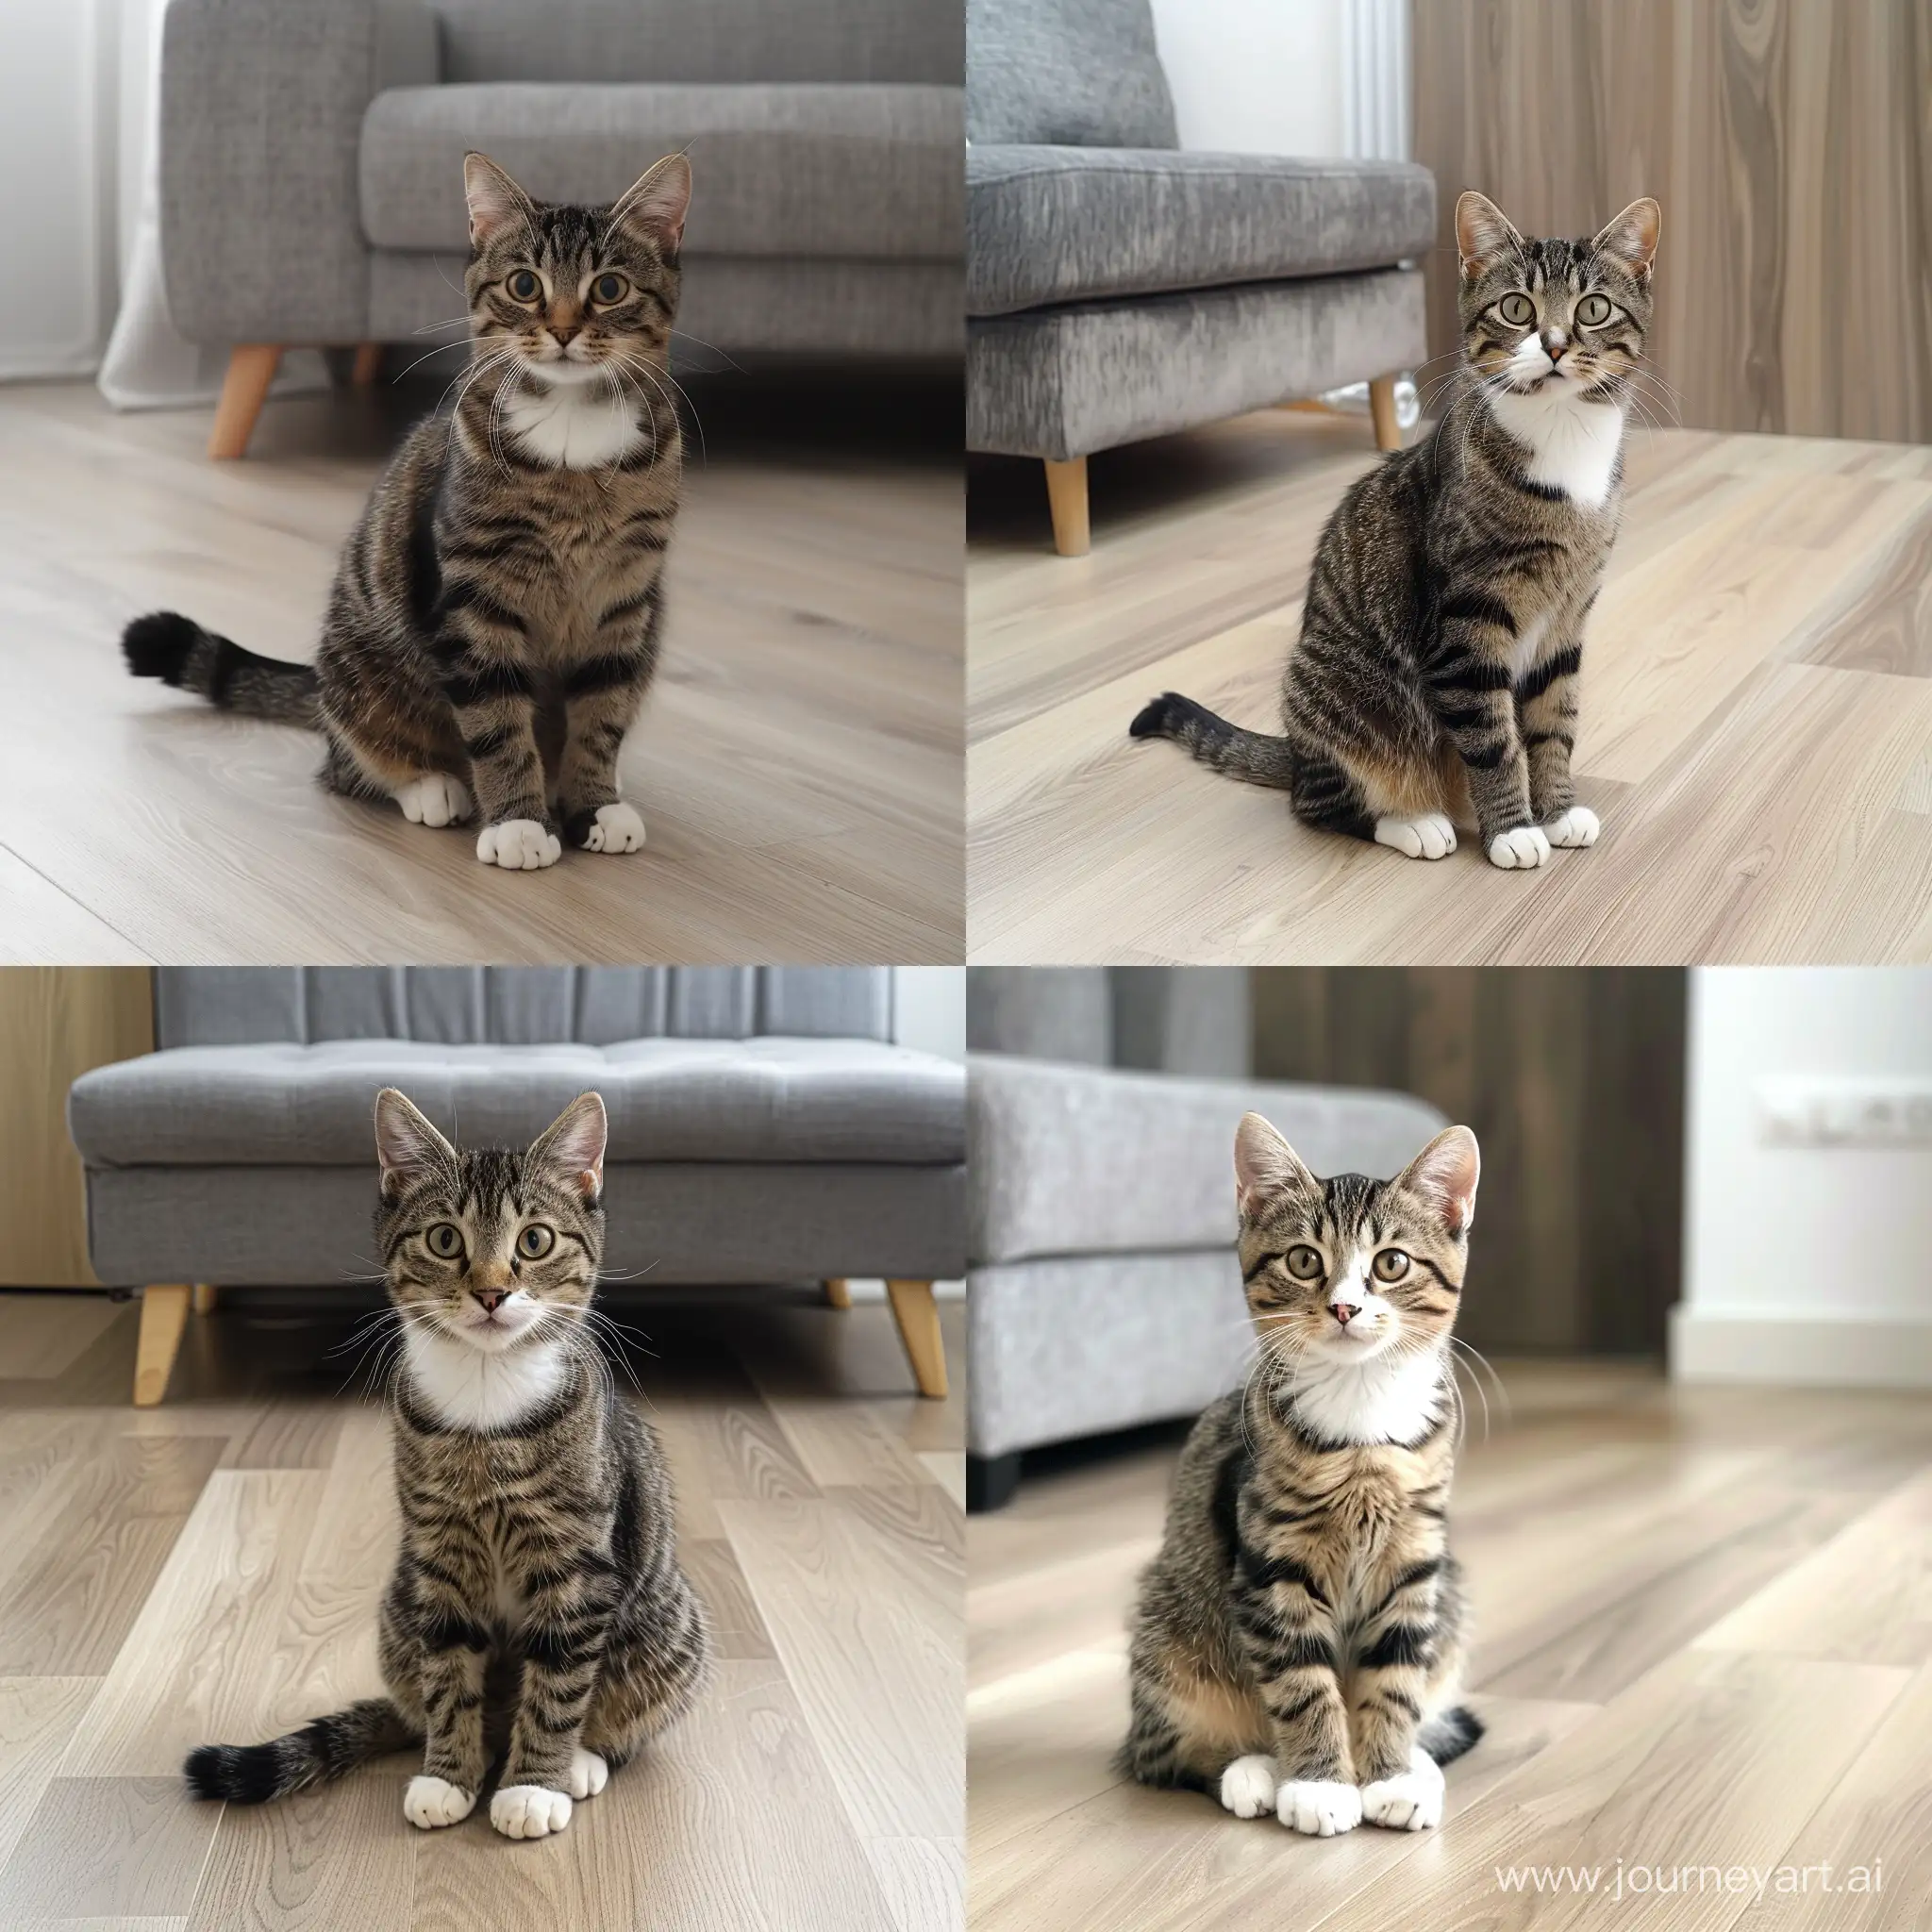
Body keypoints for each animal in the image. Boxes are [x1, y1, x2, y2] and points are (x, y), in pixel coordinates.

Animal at [125, 154, 691, 873]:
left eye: (610, 287)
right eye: (525, 284)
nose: (563, 330)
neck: (571, 435)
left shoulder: (624, 595)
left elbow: (602, 712)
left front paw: (592, 803)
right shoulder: (472, 596)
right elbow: (497, 722)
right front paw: (519, 822)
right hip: (362, 667)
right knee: (347, 766)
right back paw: (429, 786)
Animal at [188, 1090, 710, 1839]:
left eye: (534, 1241)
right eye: (444, 1240)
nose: (491, 1292)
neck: (485, 1404)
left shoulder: (578, 1564)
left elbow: (559, 1683)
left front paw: (533, 1786)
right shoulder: (437, 1555)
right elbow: (447, 1674)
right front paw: (448, 1775)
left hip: (668, 1625)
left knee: (615, 1705)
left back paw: (580, 1762)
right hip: (397, 1604)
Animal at [1112, 1112, 1483, 1831]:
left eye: (1391, 1263)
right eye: (1304, 1260)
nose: (1343, 1308)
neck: (1362, 1423)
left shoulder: (1414, 1559)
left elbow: (1396, 1676)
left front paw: (1388, 1774)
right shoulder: (1271, 1561)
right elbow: (1302, 1681)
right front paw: (1319, 1784)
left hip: (1450, 1589)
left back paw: (1418, 1765)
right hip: (1169, 1624)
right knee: (1162, 1754)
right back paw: (1253, 1770)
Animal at [1128, 192, 1661, 873]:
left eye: (1593, 309)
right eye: (1517, 307)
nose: (1555, 345)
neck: (1563, 445)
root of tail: (1295, 751)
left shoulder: (1566, 621)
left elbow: (1552, 723)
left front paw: (1558, 809)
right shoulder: (1466, 627)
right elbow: (1493, 741)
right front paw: (1514, 830)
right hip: (1339, 694)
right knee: (1318, 803)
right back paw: (1413, 823)